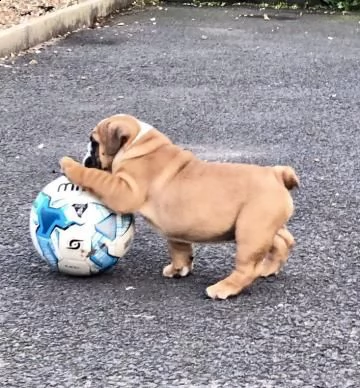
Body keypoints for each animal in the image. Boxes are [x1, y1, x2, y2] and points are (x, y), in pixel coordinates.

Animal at [61, 113, 298, 298]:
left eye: (93, 142)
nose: (84, 155)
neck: (137, 144)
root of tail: (276, 174)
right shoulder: (177, 228)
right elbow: (179, 249)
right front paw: (178, 269)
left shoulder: (123, 191)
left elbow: (96, 177)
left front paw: (69, 165)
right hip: (262, 226)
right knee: (284, 240)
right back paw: (268, 268)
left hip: (250, 231)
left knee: (247, 268)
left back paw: (223, 288)